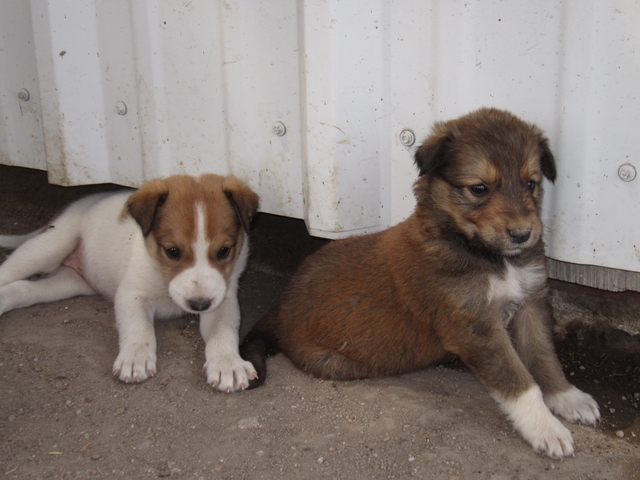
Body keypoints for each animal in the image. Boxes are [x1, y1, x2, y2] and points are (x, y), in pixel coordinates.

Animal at [1, 174, 260, 392]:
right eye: (173, 251)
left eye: (224, 251)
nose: (199, 305)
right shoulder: (131, 294)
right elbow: (139, 327)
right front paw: (136, 358)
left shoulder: (223, 299)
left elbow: (222, 332)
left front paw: (227, 364)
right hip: (49, 247)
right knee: (10, 272)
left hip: (68, 283)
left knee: (24, 289)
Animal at [242, 108, 604, 458]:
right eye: (479, 188)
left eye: (531, 184)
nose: (522, 234)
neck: (490, 257)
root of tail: (283, 303)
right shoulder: (475, 325)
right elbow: (518, 379)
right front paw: (546, 428)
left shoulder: (531, 302)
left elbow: (544, 356)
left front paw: (567, 397)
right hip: (335, 362)